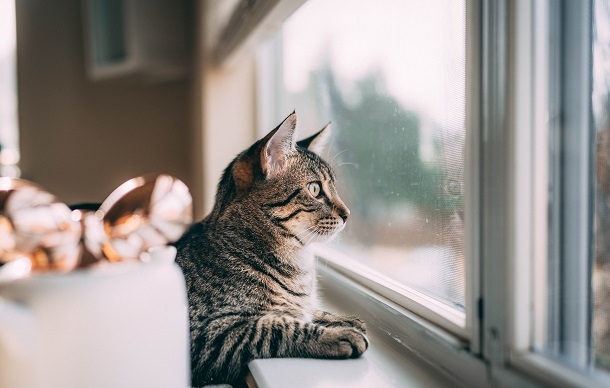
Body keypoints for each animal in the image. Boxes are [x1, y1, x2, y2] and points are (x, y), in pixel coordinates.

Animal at [173, 113, 368, 388]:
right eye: (315, 189)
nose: (348, 214)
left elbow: (305, 311)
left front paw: (337, 318)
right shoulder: (206, 336)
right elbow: (278, 327)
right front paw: (337, 334)